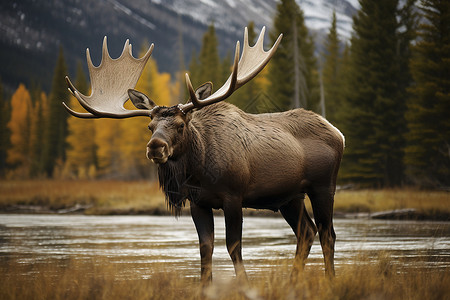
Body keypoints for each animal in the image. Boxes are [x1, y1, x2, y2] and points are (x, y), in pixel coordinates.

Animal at [63, 27, 344, 282]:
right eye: (150, 126)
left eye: (180, 125)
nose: (155, 147)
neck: (200, 172)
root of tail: (338, 132)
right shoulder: (198, 202)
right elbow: (205, 249)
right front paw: (204, 286)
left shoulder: (233, 196)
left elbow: (233, 246)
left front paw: (244, 284)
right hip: (289, 196)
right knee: (306, 232)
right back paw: (292, 281)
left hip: (323, 186)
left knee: (327, 233)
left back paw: (330, 280)